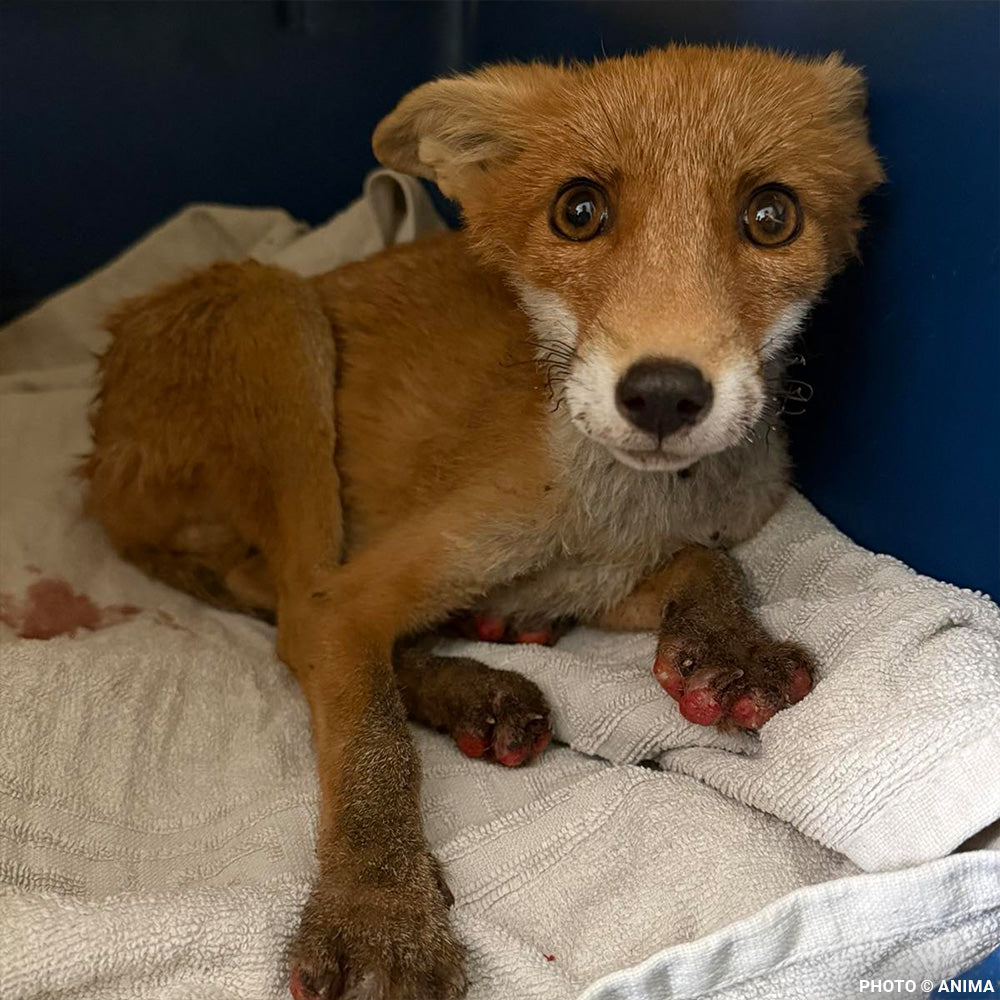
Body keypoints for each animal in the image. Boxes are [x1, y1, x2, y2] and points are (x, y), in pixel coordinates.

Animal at [83, 44, 883, 1000]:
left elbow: (706, 564)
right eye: (578, 211)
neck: (614, 510)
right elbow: (372, 744)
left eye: (771, 216)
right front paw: (379, 911)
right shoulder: (360, 595)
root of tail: (94, 457)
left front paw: (727, 642)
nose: (661, 394)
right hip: (273, 318)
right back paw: (466, 681)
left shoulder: (598, 575)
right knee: (281, 608)